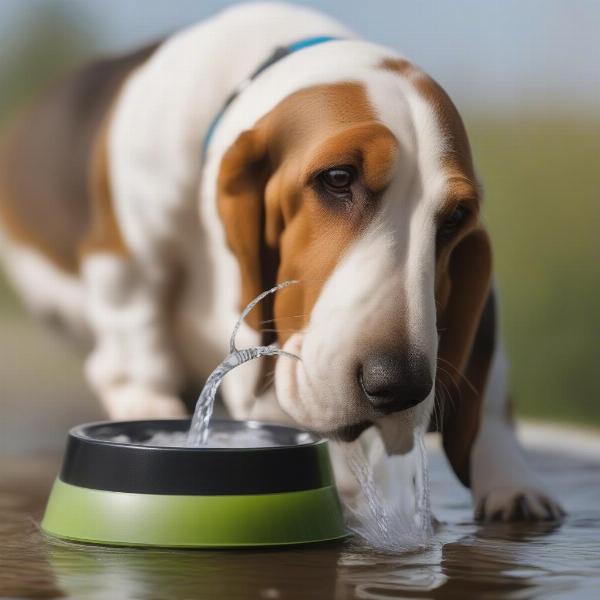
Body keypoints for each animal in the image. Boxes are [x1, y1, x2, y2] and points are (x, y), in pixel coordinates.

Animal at [0, 2, 564, 520]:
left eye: (454, 218)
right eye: (337, 178)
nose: (398, 385)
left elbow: (492, 396)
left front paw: (514, 482)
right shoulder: (126, 256)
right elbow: (136, 337)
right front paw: (148, 410)